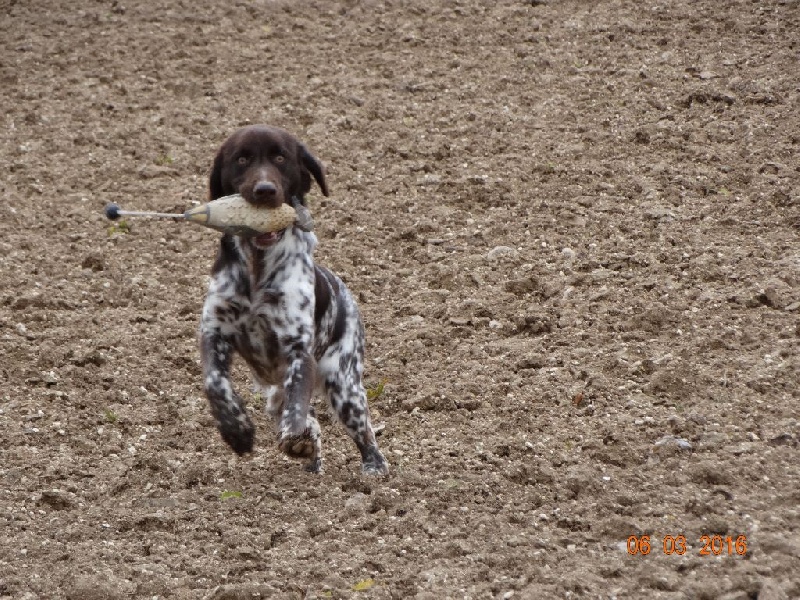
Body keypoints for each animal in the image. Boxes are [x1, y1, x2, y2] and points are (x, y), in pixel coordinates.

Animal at [198, 124, 390, 476]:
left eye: (280, 157)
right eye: (242, 158)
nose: (264, 190)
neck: (257, 269)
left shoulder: (298, 350)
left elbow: (297, 406)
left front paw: (292, 434)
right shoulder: (214, 331)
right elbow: (215, 383)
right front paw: (236, 429)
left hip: (344, 386)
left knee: (364, 434)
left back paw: (372, 468)